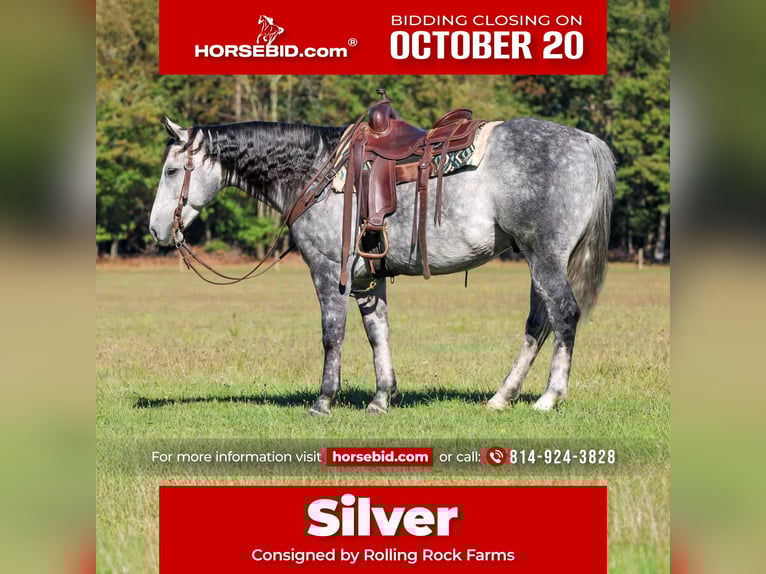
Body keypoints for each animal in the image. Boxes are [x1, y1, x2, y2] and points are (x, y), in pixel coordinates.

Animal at [149, 113, 615, 416]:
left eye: (171, 170)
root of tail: (585, 142)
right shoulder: (368, 280)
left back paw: (548, 398)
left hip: (545, 257)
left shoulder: (328, 272)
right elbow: (378, 334)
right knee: (538, 323)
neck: (315, 172)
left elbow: (332, 335)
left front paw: (323, 401)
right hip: (538, 261)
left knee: (564, 315)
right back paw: (502, 396)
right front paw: (381, 398)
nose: (155, 229)